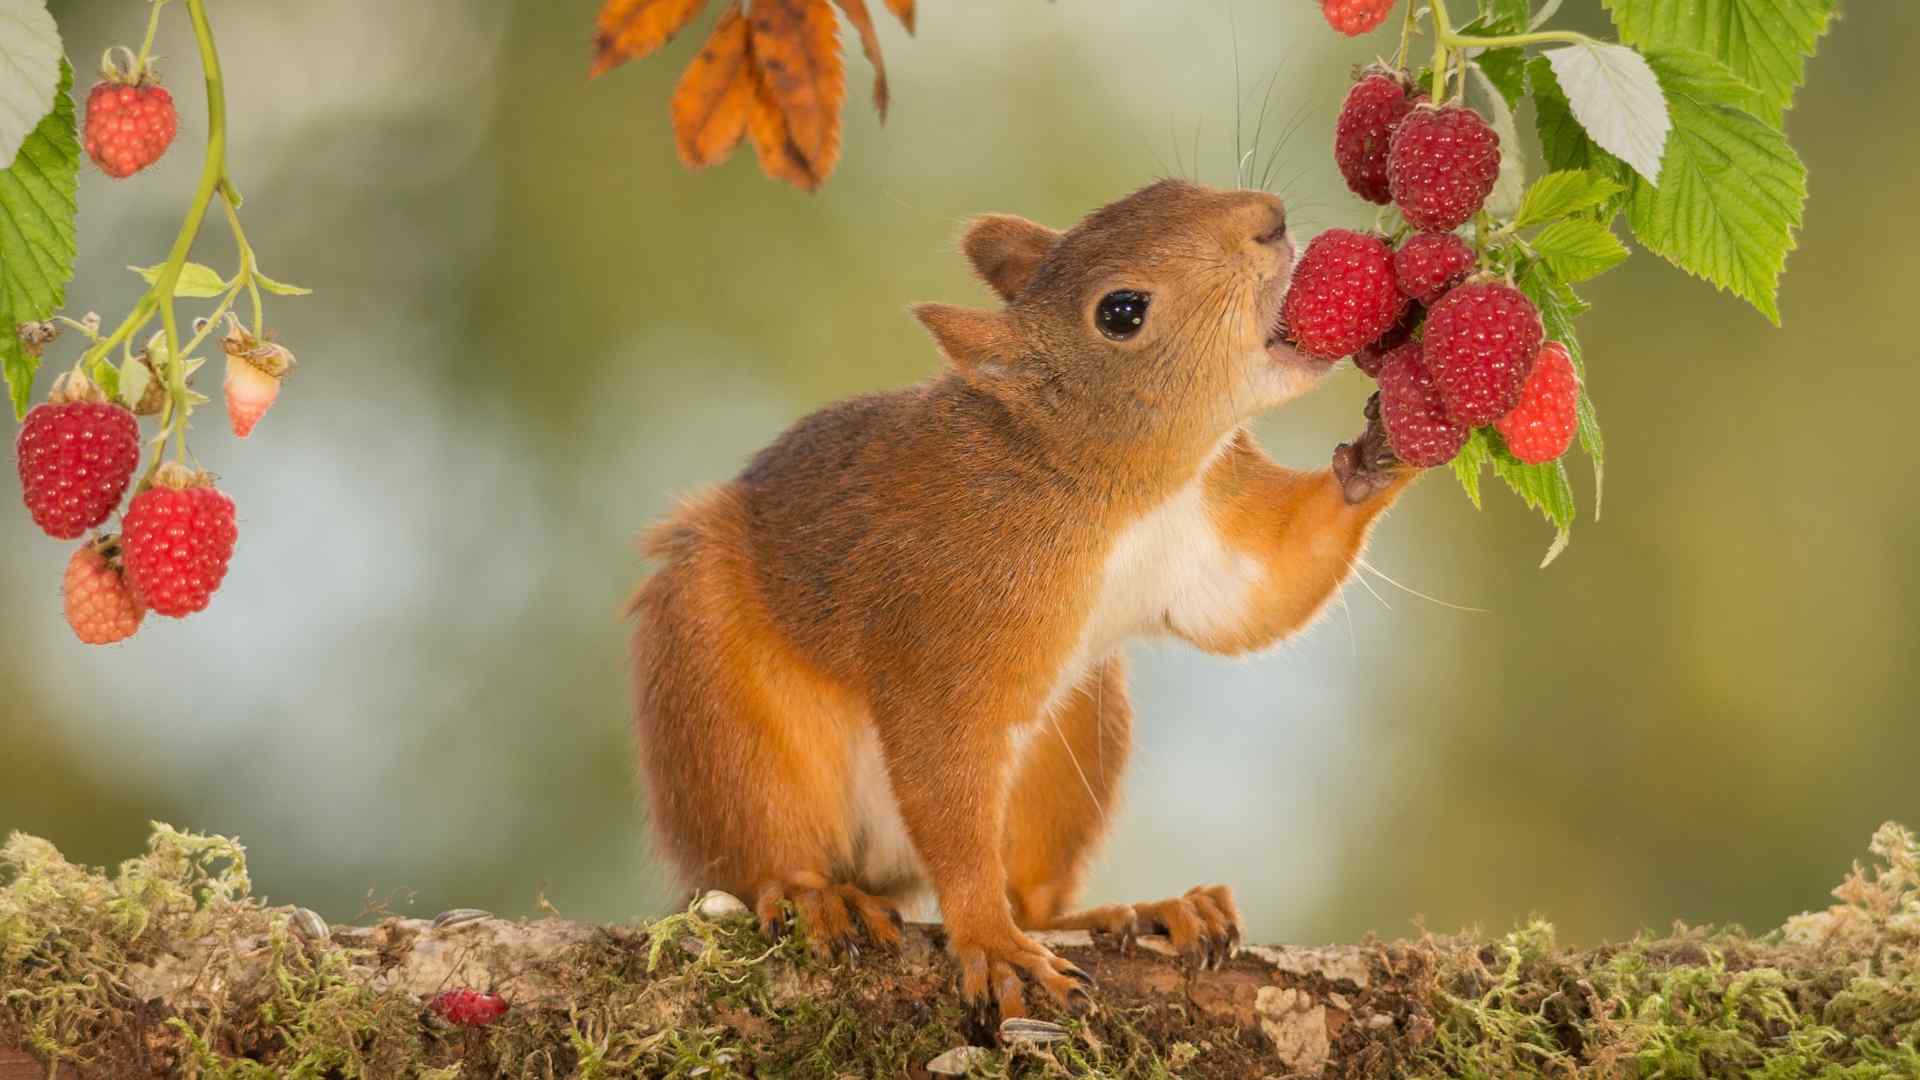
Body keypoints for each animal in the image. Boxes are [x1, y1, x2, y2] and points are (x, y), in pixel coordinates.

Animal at [625, 176, 1413, 1014]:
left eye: (1169, 187)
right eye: (1121, 312)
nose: (1269, 220)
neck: (1116, 490)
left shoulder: (1209, 531)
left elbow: (1264, 592)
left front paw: (1387, 445)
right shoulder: (946, 622)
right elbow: (946, 777)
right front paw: (989, 942)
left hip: (1076, 737)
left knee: (1035, 896)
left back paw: (1149, 909)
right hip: (720, 708)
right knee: (760, 851)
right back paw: (816, 895)